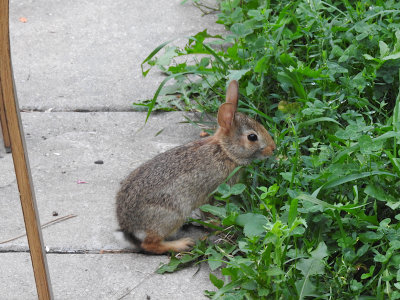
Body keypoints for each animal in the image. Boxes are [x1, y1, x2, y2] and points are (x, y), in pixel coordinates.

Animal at [115, 79, 276, 253]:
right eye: (252, 137)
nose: (273, 148)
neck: (225, 151)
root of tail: (129, 228)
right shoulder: (210, 191)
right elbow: (207, 210)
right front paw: (216, 223)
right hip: (171, 215)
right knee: (150, 244)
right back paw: (182, 244)